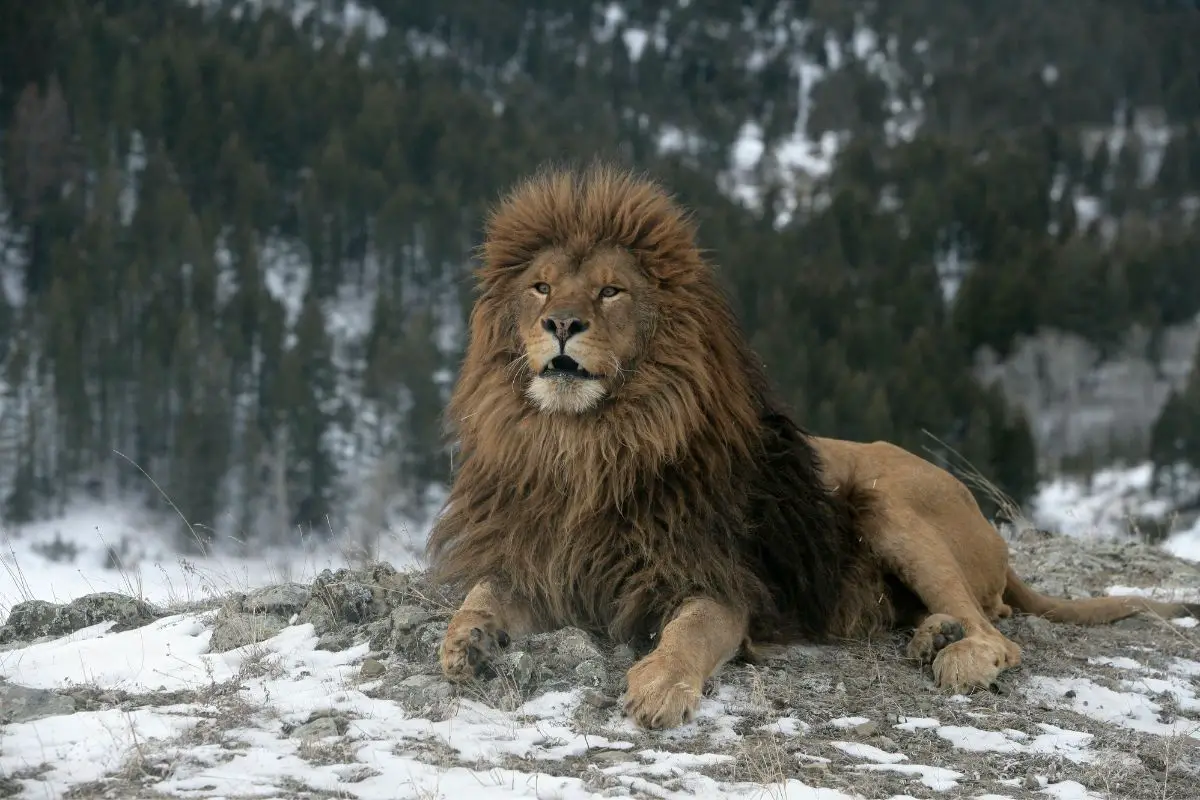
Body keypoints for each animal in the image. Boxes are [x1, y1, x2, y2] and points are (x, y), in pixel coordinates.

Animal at [424, 163, 1200, 734]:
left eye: (612, 291)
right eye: (540, 287)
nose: (560, 323)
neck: (586, 446)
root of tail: (994, 539)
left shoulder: (723, 583)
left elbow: (690, 635)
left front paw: (659, 686)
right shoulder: (546, 563)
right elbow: (481, 596)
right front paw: (465, 642)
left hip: (887, 502)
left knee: (998, 631)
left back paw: (959, 656)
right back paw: (932, 636)